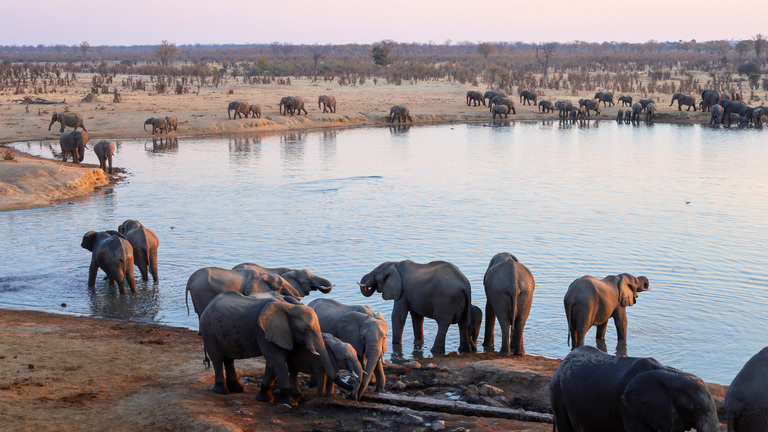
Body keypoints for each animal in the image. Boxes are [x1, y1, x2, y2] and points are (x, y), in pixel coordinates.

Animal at [201, 290, 352, 404]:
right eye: (306, 329)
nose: (351, 390)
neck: (289, 306)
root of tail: (208, 305)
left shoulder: (280, 334)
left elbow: (272, 363)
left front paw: (264, 398)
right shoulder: (263, 332)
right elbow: (277, 360)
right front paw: (289, 402)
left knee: (229, 359)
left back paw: (238, 389)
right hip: (209, 331)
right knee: (217, 358)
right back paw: (221, 390)